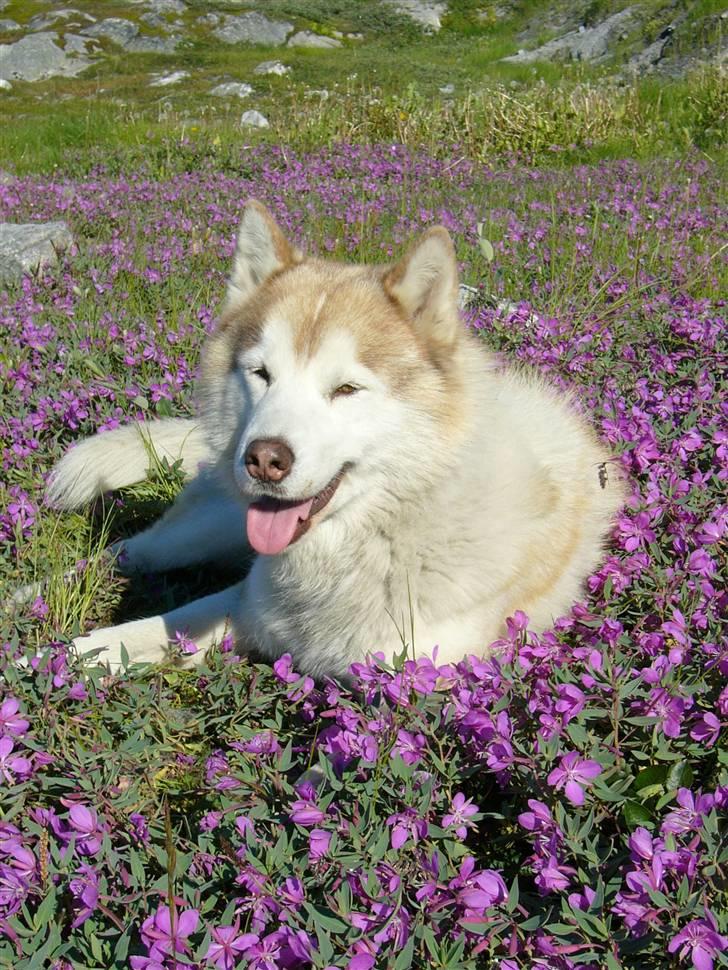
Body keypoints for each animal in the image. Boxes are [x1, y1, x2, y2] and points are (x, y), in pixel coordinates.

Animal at [47, 200, 624, 676]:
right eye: (261, 374)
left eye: (346, 388)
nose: (264, 459)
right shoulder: (248, 603)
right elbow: (151, 628)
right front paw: (67, 655)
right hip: (203, 531)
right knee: (124, 553)